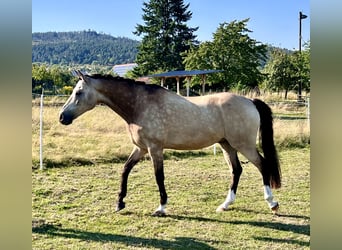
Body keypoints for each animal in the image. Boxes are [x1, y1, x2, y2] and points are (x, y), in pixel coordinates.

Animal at [59, 71, 280, 217]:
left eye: (78, 92)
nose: (62, 117)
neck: (140, 105)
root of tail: (250, 101)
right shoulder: (140, 148)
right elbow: (125, 170)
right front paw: (119, 203)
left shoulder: (155, 149)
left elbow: (159, 177)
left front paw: (161, 207)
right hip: (227, 145)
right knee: (236, 170)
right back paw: (225, 204)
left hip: (244, 145)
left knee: (263, 166)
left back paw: (272, 203)